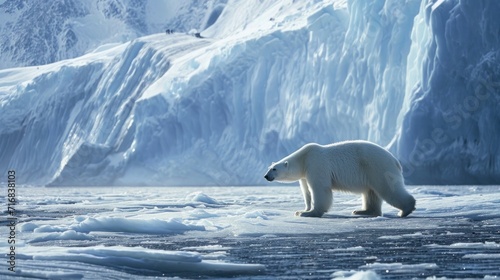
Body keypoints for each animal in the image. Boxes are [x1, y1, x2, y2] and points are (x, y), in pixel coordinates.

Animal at [264, 141, 416, 218]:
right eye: (269, 167)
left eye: (274, 169)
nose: (266, 176)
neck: (303, 158)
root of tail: (395, 160)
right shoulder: (304, 174)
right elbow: (306, 191)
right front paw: (302, 209)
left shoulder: (316, 164)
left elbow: (320, 188)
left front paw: (310, 213)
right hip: (372, 172)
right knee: (371, 193)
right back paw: (362, 211)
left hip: (378, 168)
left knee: (389, 190)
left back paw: (405, 210)